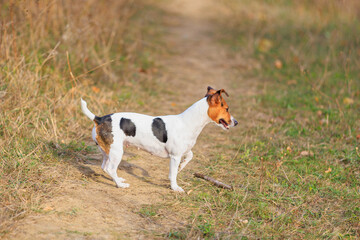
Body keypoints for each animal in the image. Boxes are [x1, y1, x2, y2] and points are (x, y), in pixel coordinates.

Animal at [82, 86, 239, 191]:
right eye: (227, 109)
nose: (236, 122)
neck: (188, 122)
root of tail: (99, 118)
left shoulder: (183, 151)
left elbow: (190, 156)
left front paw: (182, 166)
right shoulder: (175, 156)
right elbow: (173, 174)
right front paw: (175, 187)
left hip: (107, 151)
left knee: (105, 167)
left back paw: (118, 179)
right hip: (116, 152)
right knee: (110, 168)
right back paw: (120, 185)